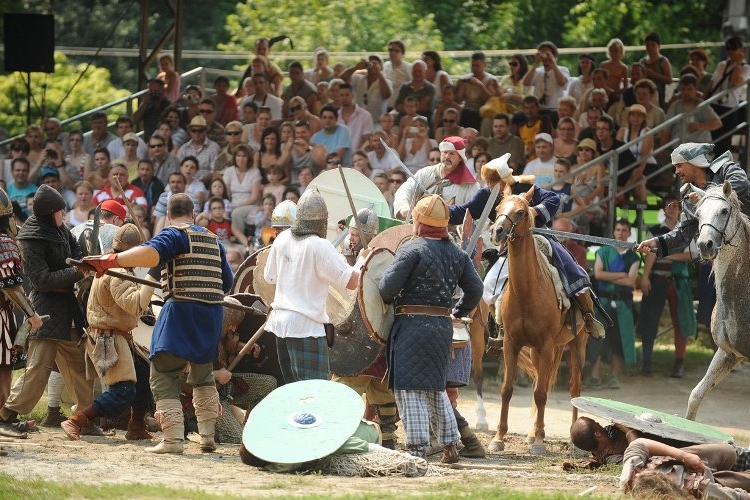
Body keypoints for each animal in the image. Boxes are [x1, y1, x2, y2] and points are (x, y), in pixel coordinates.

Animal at [490, 188, 592, 454]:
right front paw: (499, 438)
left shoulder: (546, 345)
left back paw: (571, 438)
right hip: (539, 352)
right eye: (498, 209)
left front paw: (538, 444)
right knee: (540, 380)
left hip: (578, 344)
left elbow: (541, 394)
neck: (527, 291)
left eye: (521, 212)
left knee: (574, 387)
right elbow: (507, 390)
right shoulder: (512, 344)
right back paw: (533, 432)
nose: (497, 231)